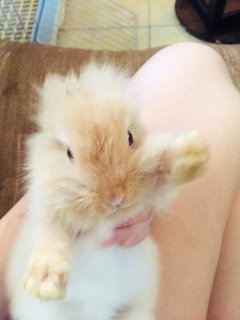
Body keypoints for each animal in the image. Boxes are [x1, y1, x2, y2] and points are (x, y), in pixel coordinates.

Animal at [5, 62, 208, 320]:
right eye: (69, 153)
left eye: (130, 136)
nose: (115, 196)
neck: (102, 220)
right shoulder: (46, 212)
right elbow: (49, 239)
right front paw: (44, 284)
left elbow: (160, 168)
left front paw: (194, 154)